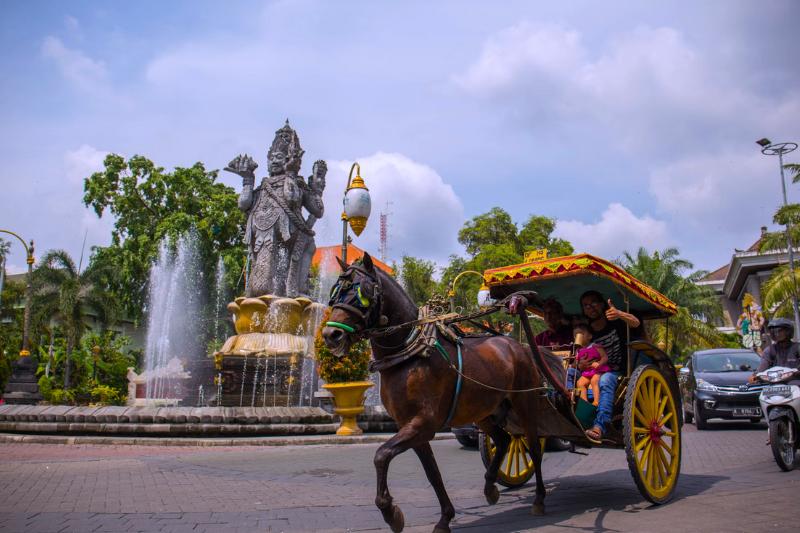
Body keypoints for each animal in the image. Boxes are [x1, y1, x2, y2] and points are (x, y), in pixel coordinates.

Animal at [320, 254, 552, 532]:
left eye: (362, 292)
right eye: (334, 292)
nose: (331, 335)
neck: (409, 355)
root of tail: (517, 345)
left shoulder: (423, 423)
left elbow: (381, 455)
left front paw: (390, 513)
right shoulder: (410, 426)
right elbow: (433, 473)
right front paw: (445, 518)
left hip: (525, 401)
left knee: (533, 448)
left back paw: (539, 499)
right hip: (484, 411)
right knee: (504, 439)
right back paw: (490, 487)